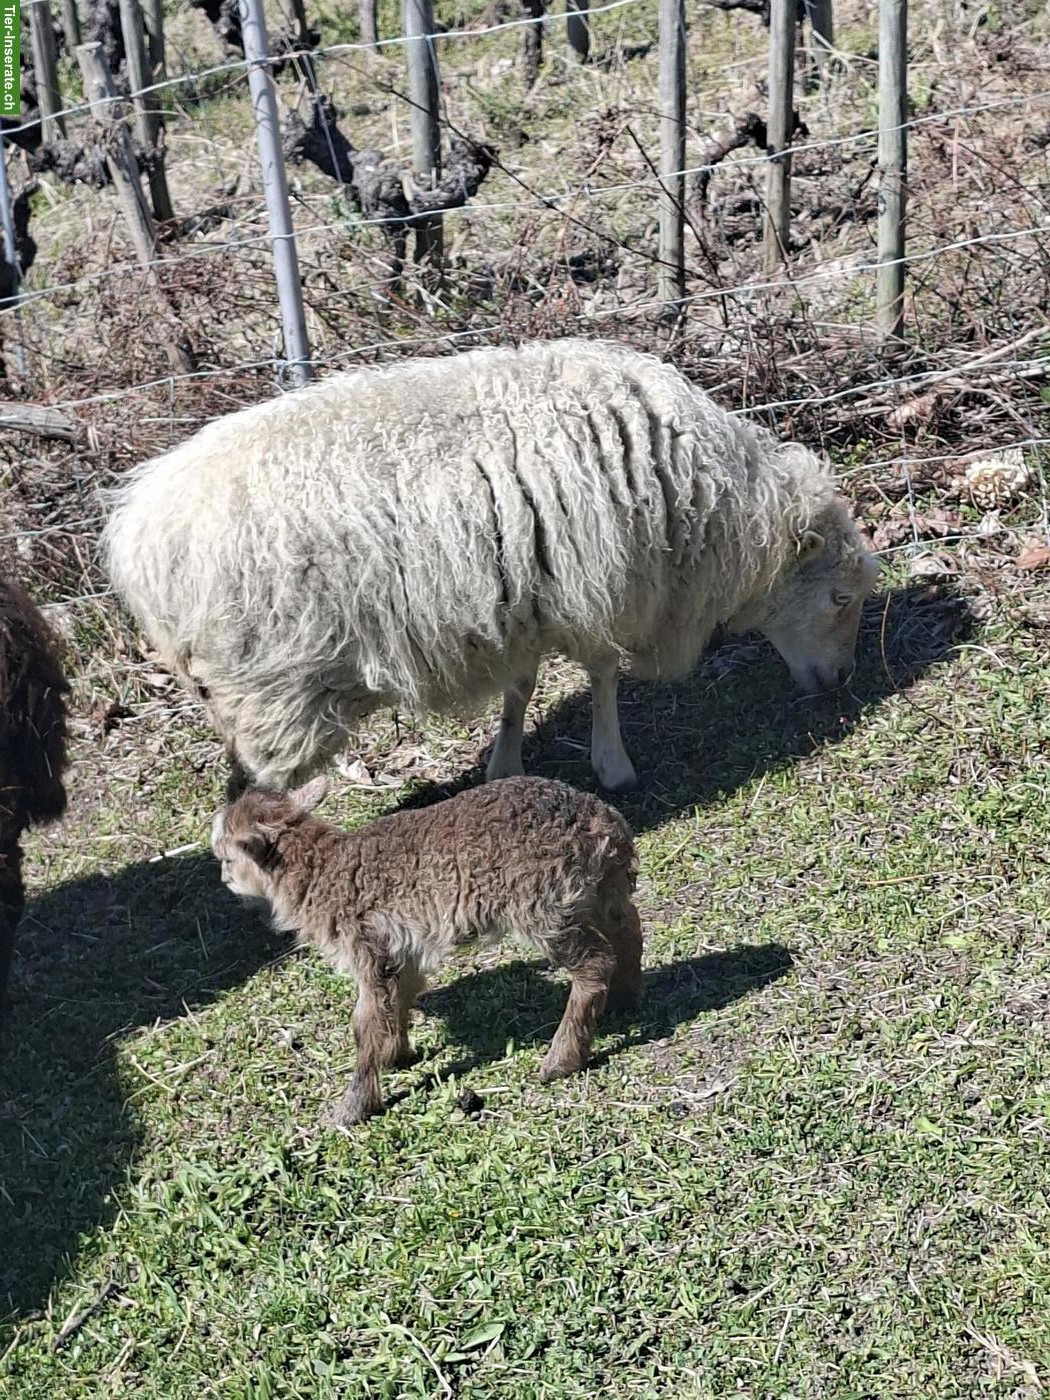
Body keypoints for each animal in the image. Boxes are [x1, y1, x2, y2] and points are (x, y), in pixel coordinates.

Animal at [103, 337, 879, 795]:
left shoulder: (527, 594)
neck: (707, 501)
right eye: (840, 598)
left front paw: (506, 765)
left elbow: (522, 685)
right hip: (270, 683)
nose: (841, 681)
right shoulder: (599, 581)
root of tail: (138, 538)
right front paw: (614, 766)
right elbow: (602, 675)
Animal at [210, 775, 644, 1125]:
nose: (224, 880)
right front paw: (396, 1054)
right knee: (629, 929)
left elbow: (365, 1024)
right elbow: (399, 1000)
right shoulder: (403, 949)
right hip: (599, 890)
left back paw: (561, 1059)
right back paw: (625, 998)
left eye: (227, 858)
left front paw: (354, 1107)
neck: (320, 871)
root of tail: (601, 822)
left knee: (594, 964)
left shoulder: (368, 947)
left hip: (544, 906)